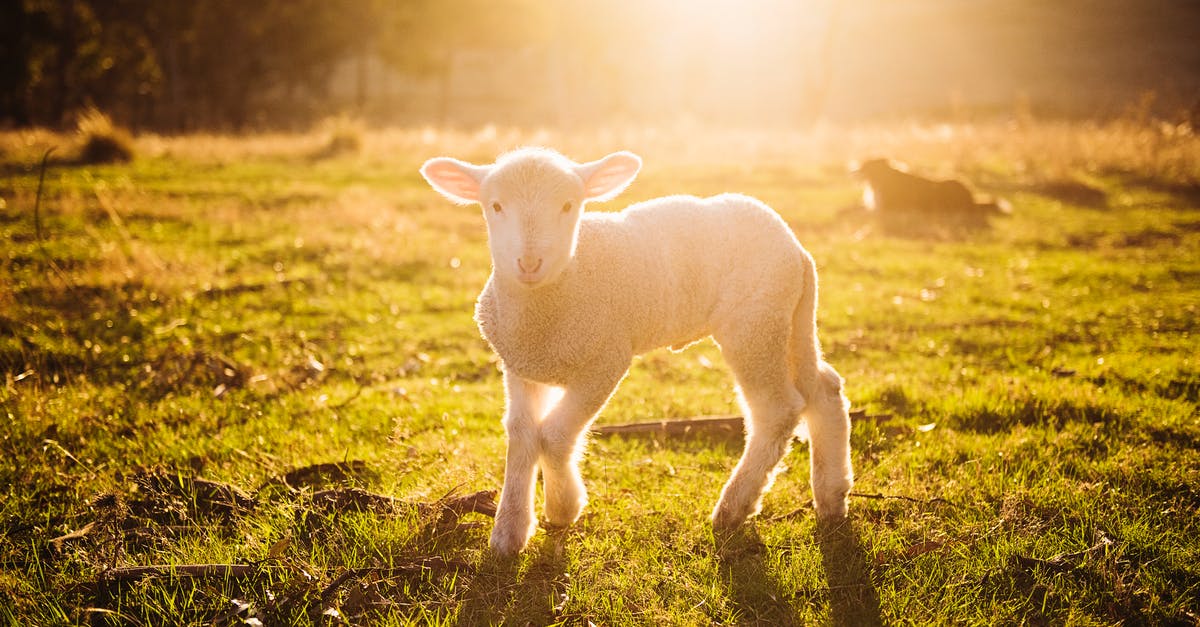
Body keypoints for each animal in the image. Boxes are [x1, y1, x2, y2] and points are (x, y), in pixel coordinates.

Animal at [422, 146, 854, 552]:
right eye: (495, 205)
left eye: (568, 205)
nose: (529, 263)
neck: (556, 294)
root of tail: (796, 248)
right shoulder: (521, 366)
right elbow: (522, 434)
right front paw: (509, 532)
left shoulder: (606, 361)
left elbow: (555, 435)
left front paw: (563, 507)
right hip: (791, 319)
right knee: (824, 388)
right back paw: (832, 497)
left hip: (754, 324)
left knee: (777, 410)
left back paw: (733, 507)